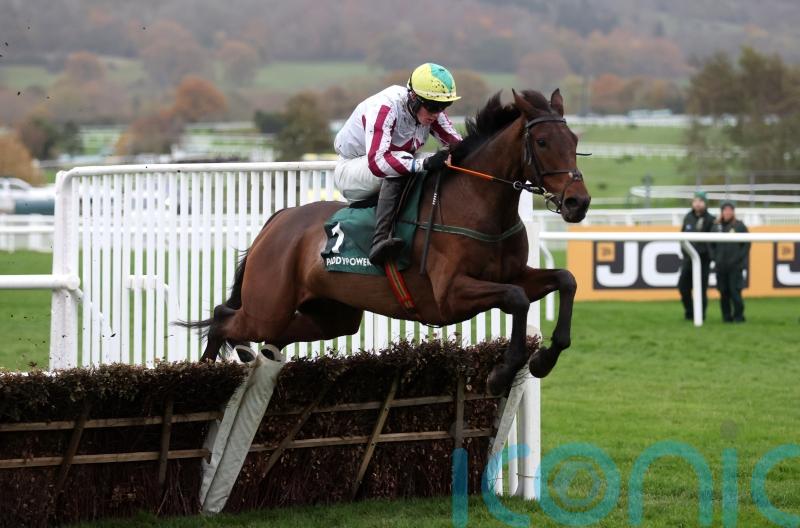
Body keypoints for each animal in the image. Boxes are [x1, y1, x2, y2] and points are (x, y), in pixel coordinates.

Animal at [179, 88, 591, 396]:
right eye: (542, 141)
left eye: (574, 140)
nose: (578, 202)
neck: (477, 204)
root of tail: (278, 220)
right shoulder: (450, 295)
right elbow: (517, 299)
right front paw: (503, 373)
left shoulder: (514, 274)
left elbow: (565, 280)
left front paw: (544, 358)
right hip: (268, 306)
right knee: (222, 319)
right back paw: (202, 379)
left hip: (330, 316)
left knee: (259, 332)